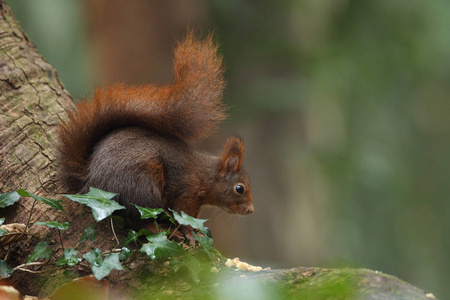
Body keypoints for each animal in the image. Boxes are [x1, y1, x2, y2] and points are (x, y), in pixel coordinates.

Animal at [56, 31, 253, 237]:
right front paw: (191, 234)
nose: (250, 210)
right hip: (142, 185)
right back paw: (157, 227)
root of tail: (91, 180)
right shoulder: (186, 194)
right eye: (239, 189)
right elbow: (182, 217)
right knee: (137, 218)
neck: (205, 177)